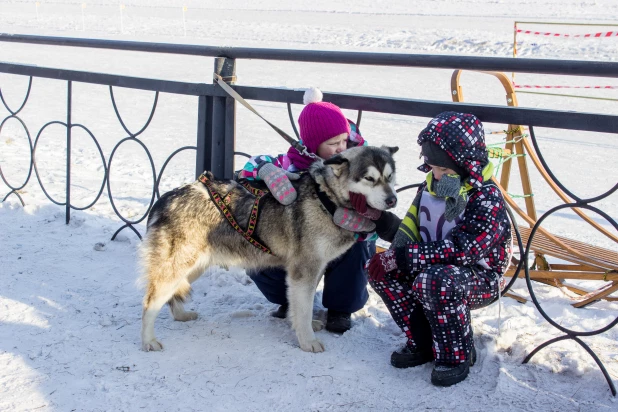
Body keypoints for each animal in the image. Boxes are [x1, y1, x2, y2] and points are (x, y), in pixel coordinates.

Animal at [140, 144, 398, 350]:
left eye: (390, 177)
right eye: (369, 179)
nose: (393, 200)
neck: (326, 199)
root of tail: (166, 198)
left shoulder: (311, 270)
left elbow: (299, 305)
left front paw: (297, 324)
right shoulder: (304, 271)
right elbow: (303, 309)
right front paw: (307, 341)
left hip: (194, 267)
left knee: (172, 294)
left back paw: (180, 315)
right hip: (178, 266)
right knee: (151, 302)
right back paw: (148, 340)